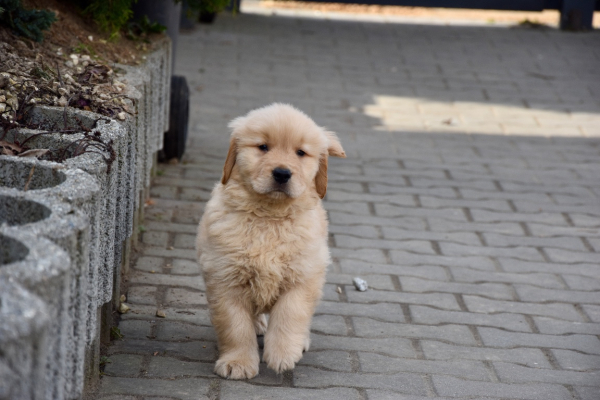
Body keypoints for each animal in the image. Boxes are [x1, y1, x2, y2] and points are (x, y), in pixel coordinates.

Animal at [197, 102, 344, 378]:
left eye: (300, 153)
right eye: (263, 147)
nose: (282, 173)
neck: (269, 217)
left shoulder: (302, 276)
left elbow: (290, 315)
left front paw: (283, 354)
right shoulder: (226, 279)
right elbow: (235, 326)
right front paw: (238, 362)